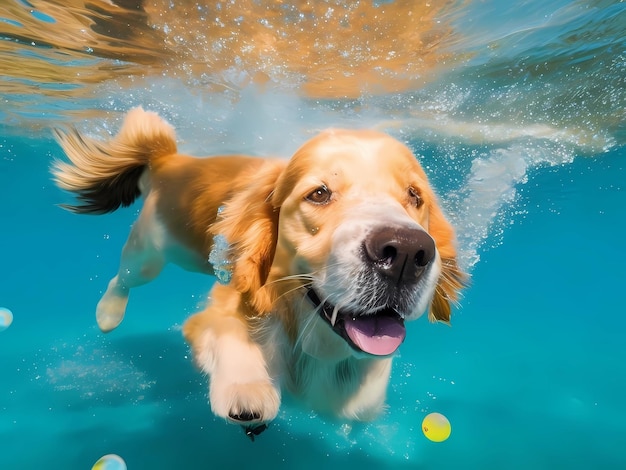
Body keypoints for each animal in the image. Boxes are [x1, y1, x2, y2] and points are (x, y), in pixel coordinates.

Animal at [52, 106, 464, 434]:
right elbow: (233, 335)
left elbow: (358, 395)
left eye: (414, 196)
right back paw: (108, 313)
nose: (407, 251)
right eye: (319, 194)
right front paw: (247, 389)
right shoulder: (226, 298)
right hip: (151, 251)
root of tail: (172, 158)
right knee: (122, 277)